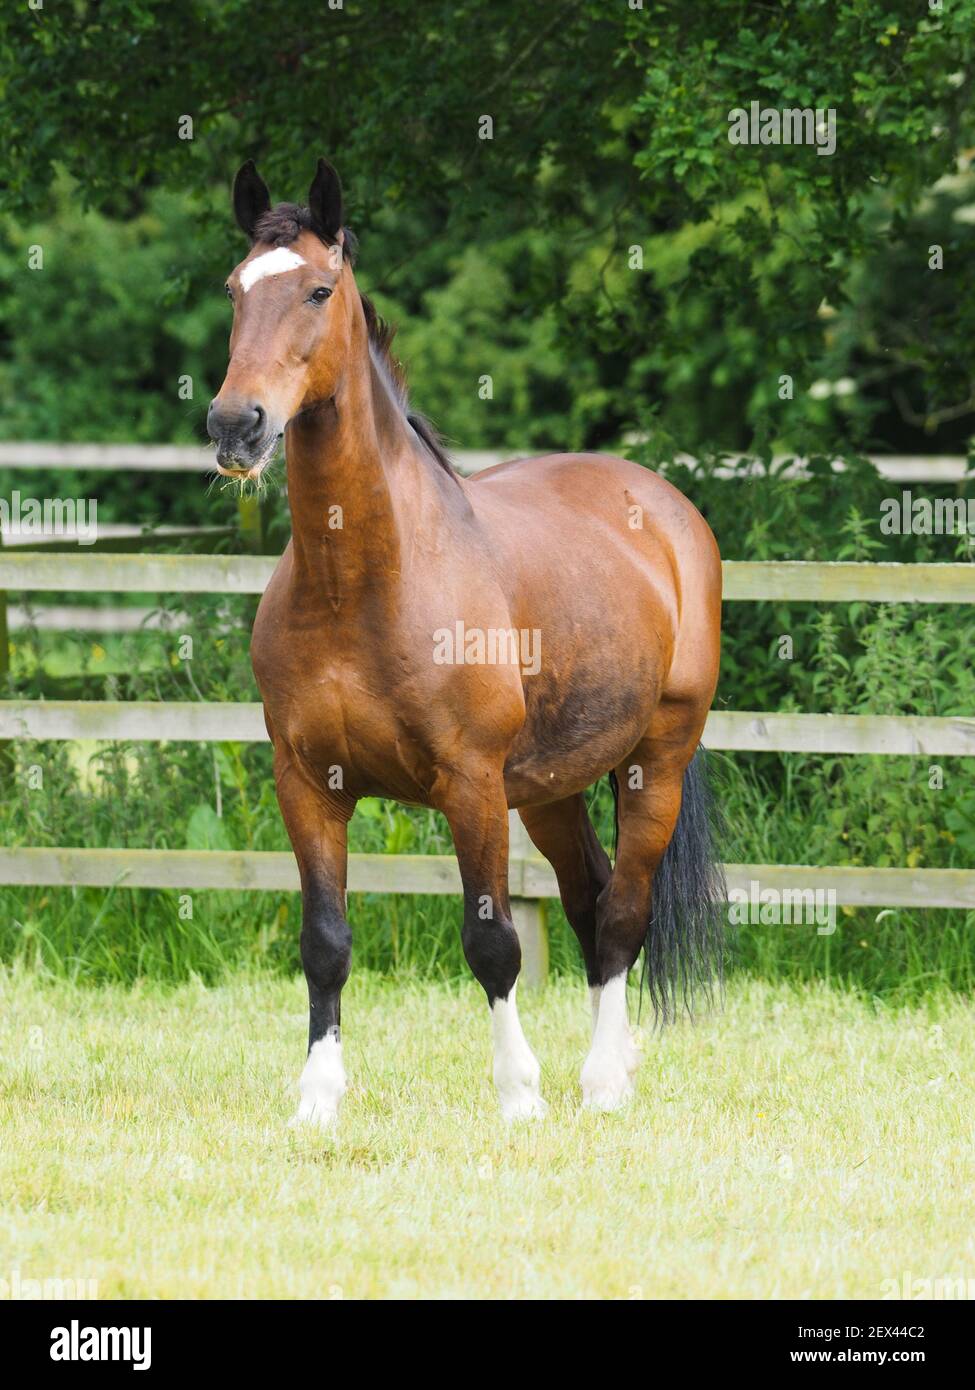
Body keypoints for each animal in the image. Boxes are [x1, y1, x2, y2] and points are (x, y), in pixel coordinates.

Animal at [207, 157, 723, 1123]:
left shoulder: (471, 785)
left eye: (318, 290)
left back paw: (601, 1082)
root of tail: (663, 505)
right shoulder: (308, 785)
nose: (234, 426)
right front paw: (317, 1099)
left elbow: (492, 943)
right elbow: (324, 941)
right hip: (551, 789)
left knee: (623, 913)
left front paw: (519, 1097)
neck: (364, 582)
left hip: (656, 761)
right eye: (234, 289)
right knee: (590, 900)